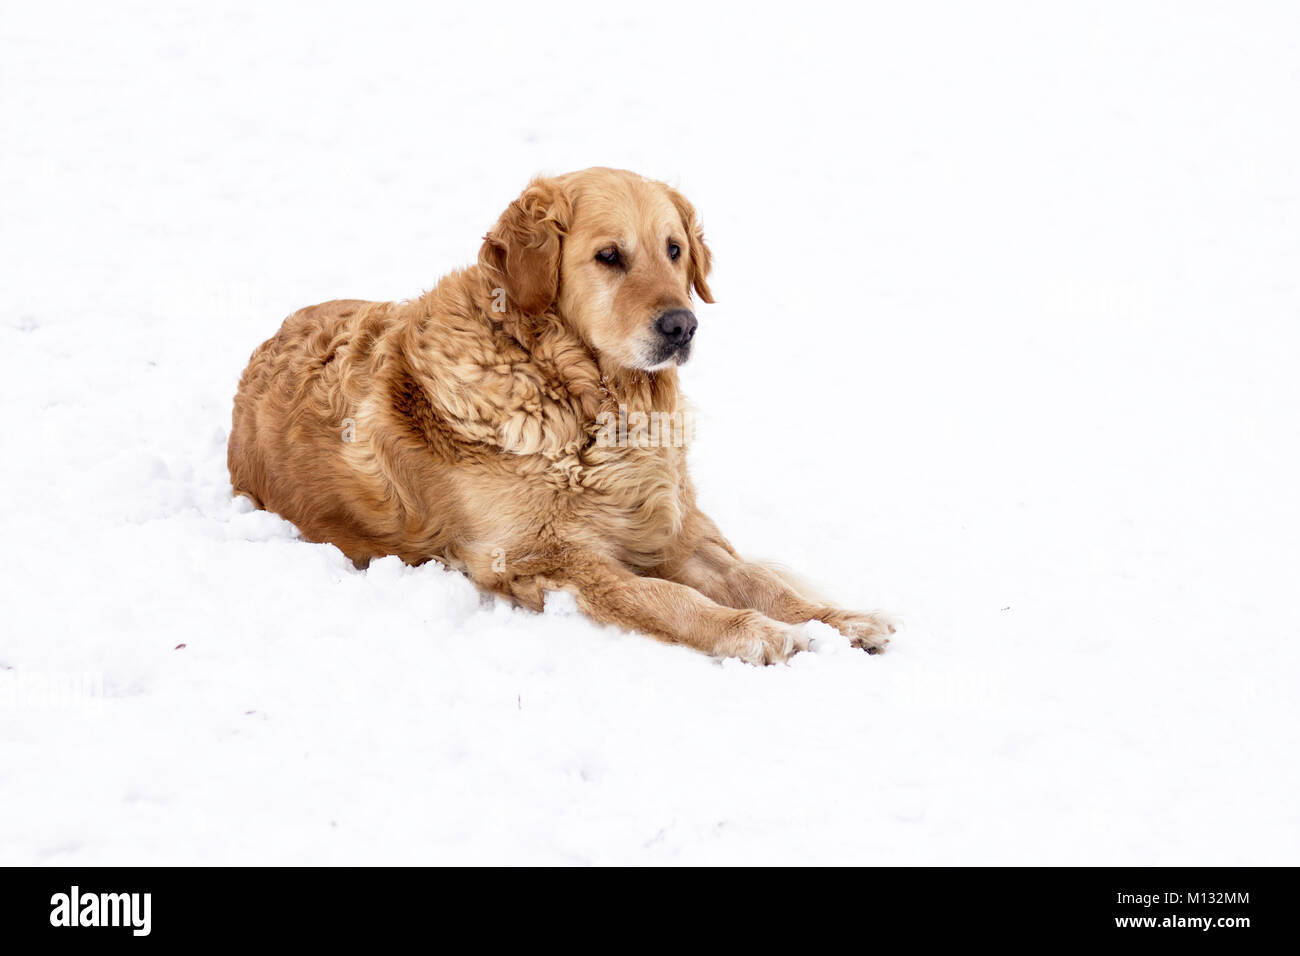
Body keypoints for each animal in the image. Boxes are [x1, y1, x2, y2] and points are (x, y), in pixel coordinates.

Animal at [228, 167, 894, 660]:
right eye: (609, 256)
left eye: (674, 250)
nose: (683, 325)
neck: (583, 396)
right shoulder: (541, 558)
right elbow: (664, 598)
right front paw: (757, 632)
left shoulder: (669, 527)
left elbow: (759, 581)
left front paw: (841, 620)